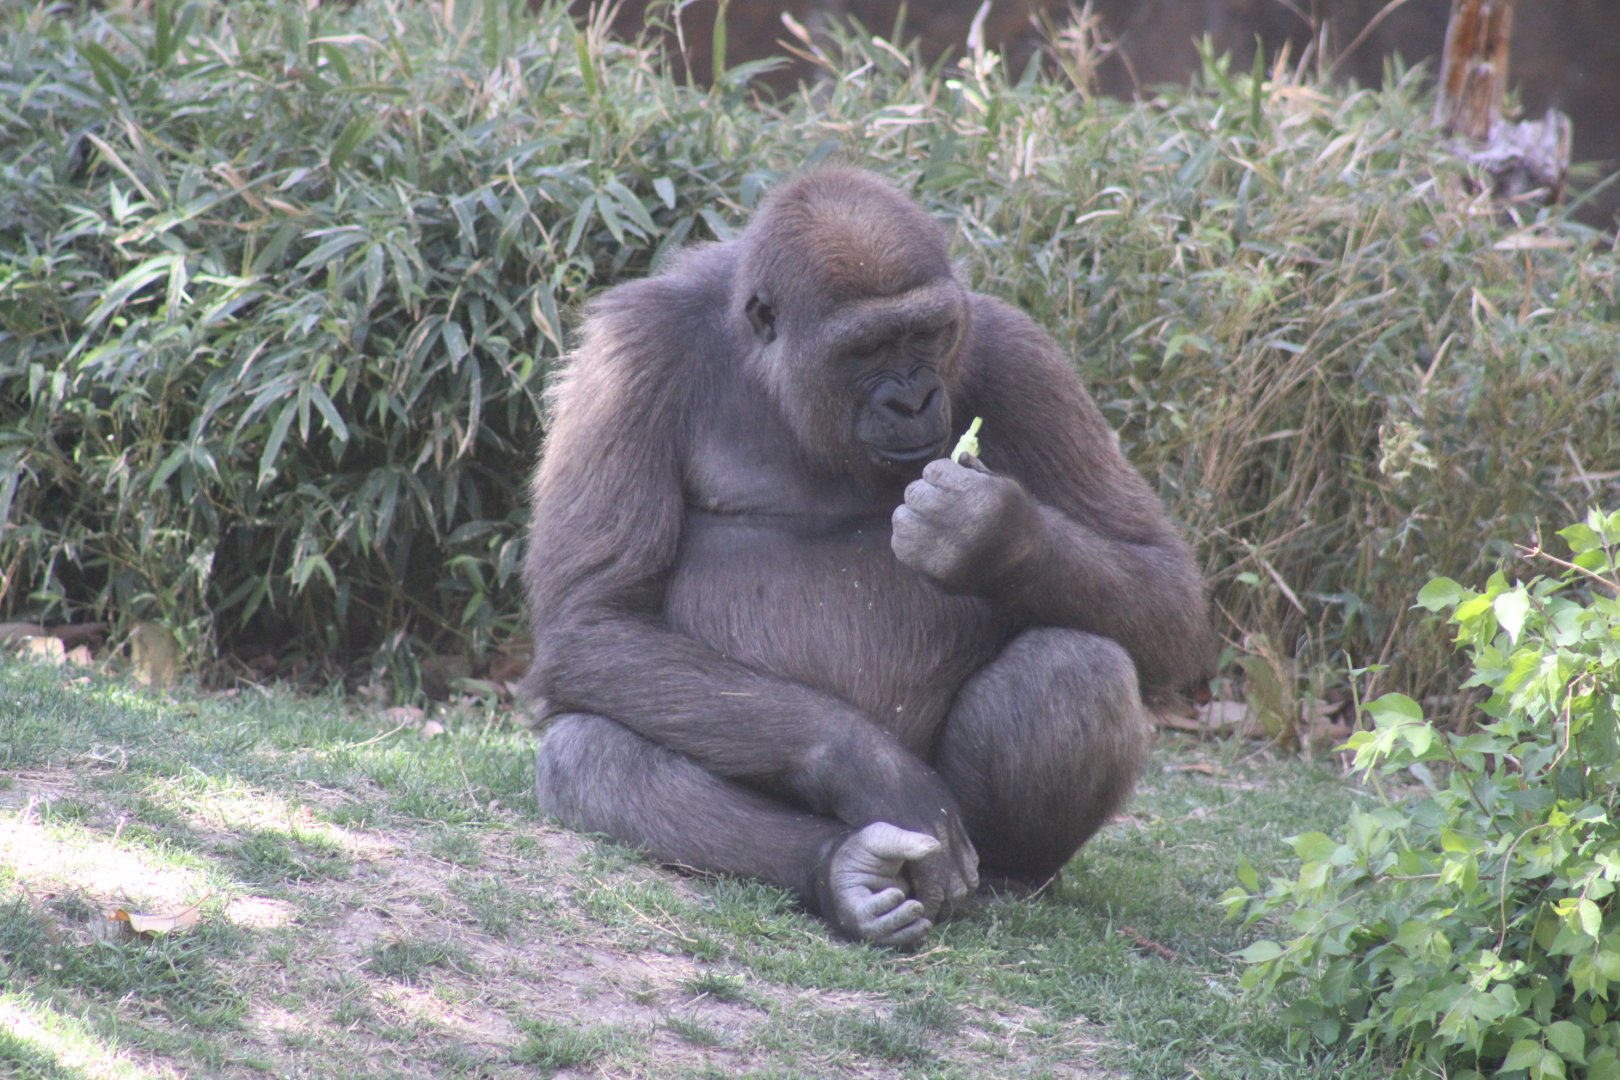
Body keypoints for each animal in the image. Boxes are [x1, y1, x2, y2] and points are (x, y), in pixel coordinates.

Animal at [523, 167, 1215, 947]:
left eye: (927, 333)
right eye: (867, 349)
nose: (914, 401)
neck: (768, 364)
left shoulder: (1023, 356)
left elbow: (1163, 585)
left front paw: (989, 533)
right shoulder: (628, 356)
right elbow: (595, 615)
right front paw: (872, 768)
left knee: (1076, 671)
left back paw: (1009, 876)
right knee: (587, 754)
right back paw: (844, 871)